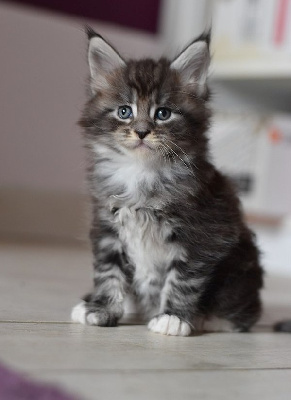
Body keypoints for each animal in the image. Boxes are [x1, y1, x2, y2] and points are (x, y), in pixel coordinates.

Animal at [71, 26, 264, 336]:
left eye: (163, 113)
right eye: (124, 111)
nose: (141, 132)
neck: (142, 172)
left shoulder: (206, 235)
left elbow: (183, 279)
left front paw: (173, 317)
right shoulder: (106, 227)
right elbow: (107, 272)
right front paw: (100, 308)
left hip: (241, 274)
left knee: (244, 316)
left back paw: (206, 317)